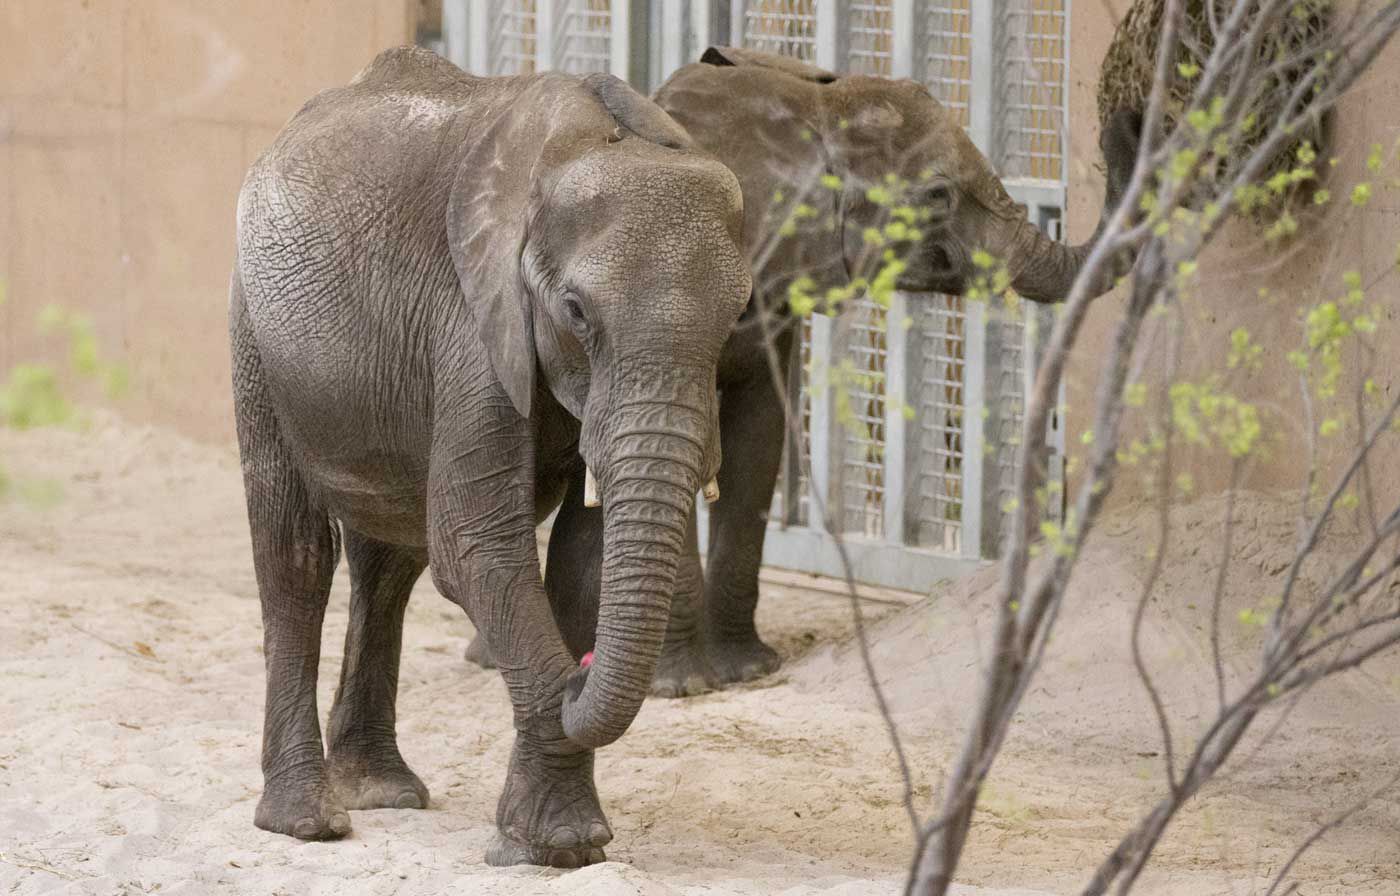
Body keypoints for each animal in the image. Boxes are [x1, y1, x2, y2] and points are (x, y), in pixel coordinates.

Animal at [231, 47, 756, 868]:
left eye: (738, 316)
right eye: (575, 311)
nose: (579, 676)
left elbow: (578, 559)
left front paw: (547, 844)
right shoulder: (473, 320)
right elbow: (476, 546)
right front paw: (561, 844)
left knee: (390, 562)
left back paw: (383, 791)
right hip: (255, 330)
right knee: (297, 553)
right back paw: (307, 821)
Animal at [464, 45, 1142, 697]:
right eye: (937, 197)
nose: (1128, 118)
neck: (798, 109)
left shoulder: (772, 294)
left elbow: (760, 439)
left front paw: (747, 671)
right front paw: (683, 687)